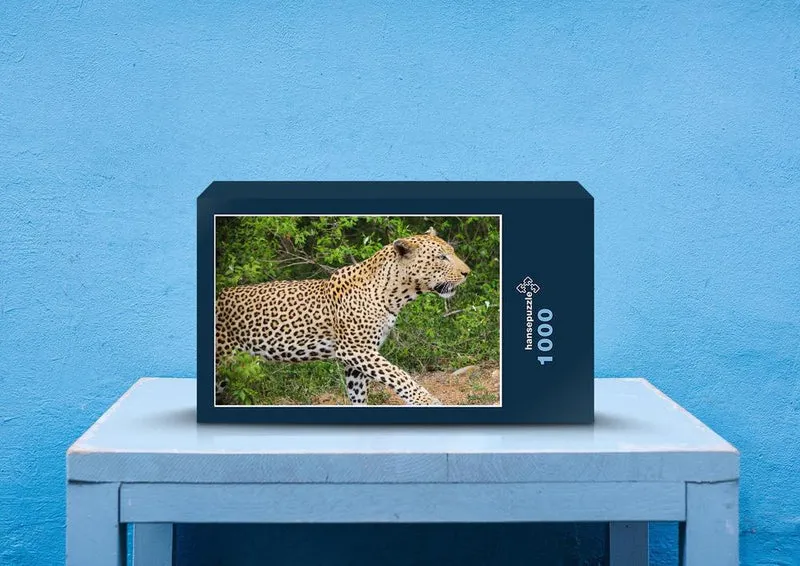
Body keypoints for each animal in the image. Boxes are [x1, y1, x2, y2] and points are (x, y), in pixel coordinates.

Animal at [215, 227, 472, 405]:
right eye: (441, 257)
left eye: (452, 253)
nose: (467, 273)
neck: (393, 294)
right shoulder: (355, 349)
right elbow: (399, 375)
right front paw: (426, 400)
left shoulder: (357, 359)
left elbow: (359, 393)